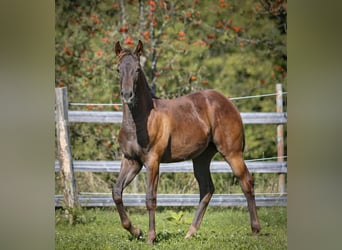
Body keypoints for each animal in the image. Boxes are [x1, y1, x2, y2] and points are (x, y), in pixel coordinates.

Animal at [112, 40, 260, 243]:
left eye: (137, 69)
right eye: (118, 69)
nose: (127, 95)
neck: (139, 122)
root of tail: (228, 103)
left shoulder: (152, 161)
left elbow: (150, 198)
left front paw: (150, 237)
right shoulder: (131, 161)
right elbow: (117, 192)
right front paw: (136, 231)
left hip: (232, 153)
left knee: (246, 182)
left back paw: (255, 230)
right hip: (201, 158)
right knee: (207, 189)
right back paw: (190, 232)